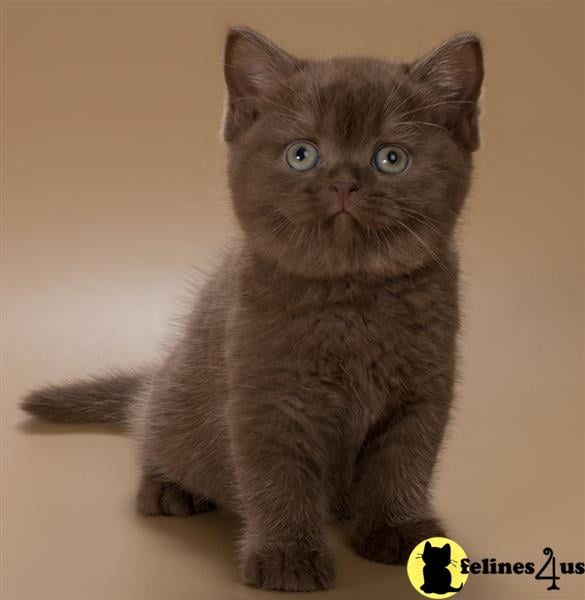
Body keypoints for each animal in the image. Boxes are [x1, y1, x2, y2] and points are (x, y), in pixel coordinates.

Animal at [20, 27, 484, 592]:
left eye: (390, 158)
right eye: (302, 154)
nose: (343, 182)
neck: (350, 297)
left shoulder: (421, 393)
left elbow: (404, 463)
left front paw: (400, 532)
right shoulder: (264, 397)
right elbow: (276, 478)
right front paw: (287, 558)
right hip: (177, 391)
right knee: (149, 423)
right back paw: (169, 488)